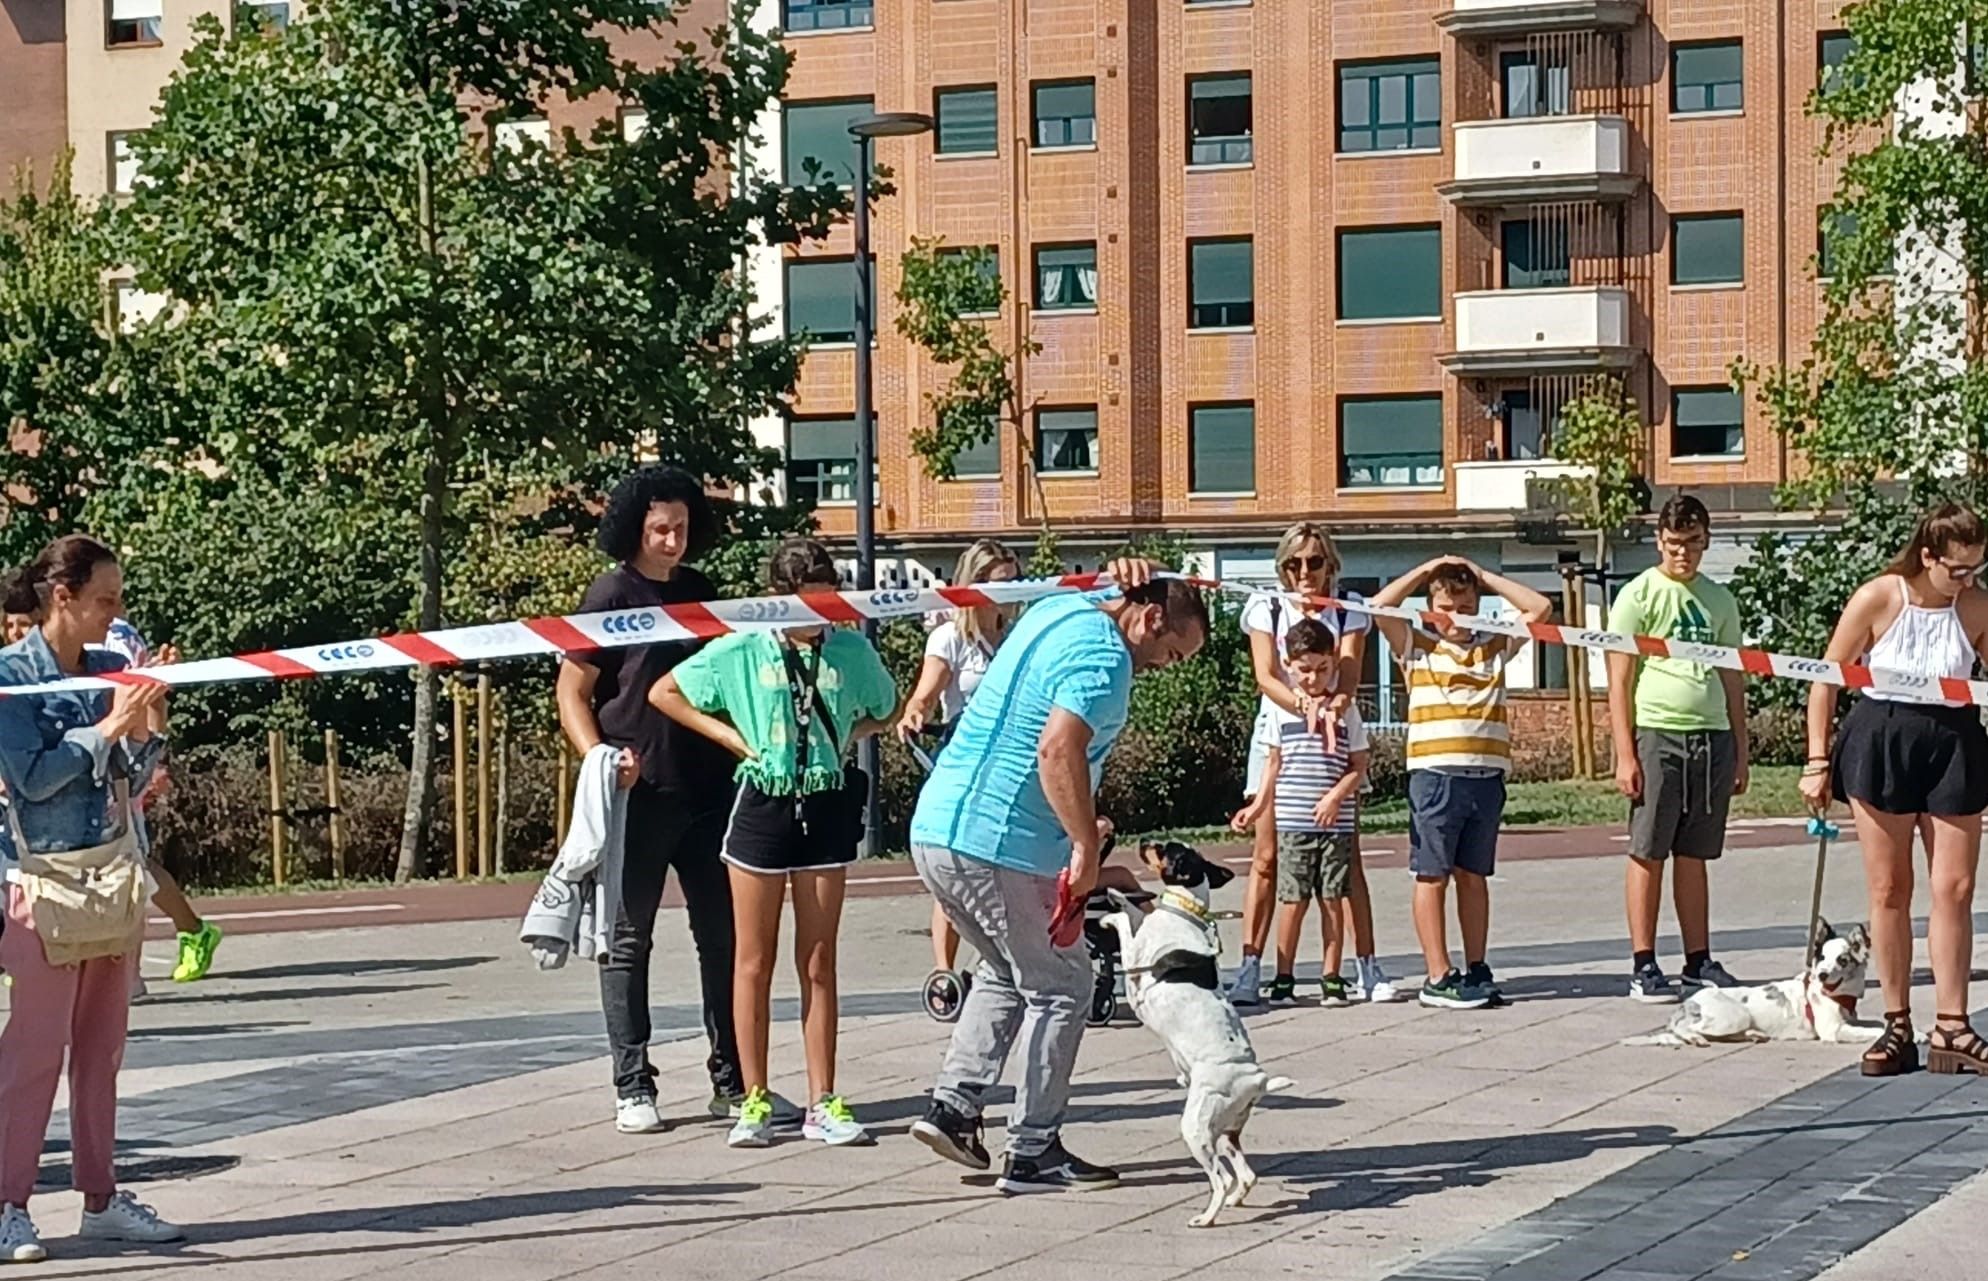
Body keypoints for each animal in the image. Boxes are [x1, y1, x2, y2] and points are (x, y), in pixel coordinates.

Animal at [1097, 839, 1296, 1233]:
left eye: (1165, 849)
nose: (1143, 841)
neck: (1184, 910)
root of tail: (1256, 1079)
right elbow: (1134, 914)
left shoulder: (1134, 970)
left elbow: (1129, 923)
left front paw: (1112, 905)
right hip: (1226, 1130)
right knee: (1245, 1175)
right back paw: (1234, 1201)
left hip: (1197, 1129)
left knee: (1221, 1178)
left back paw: (1207, 1217)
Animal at [1614, 918, 1876, 1050]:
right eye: (1821, 958)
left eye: (1842, 960)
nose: (1821, 974)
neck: (1838, 995)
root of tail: (1687, 1004)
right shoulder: (1832, 1030)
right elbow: (1872, 1031)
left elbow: (1872, 1023)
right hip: (1733, 1016)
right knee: (1688, 1030)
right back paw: (1695, 1038)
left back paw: (1752, 1035)